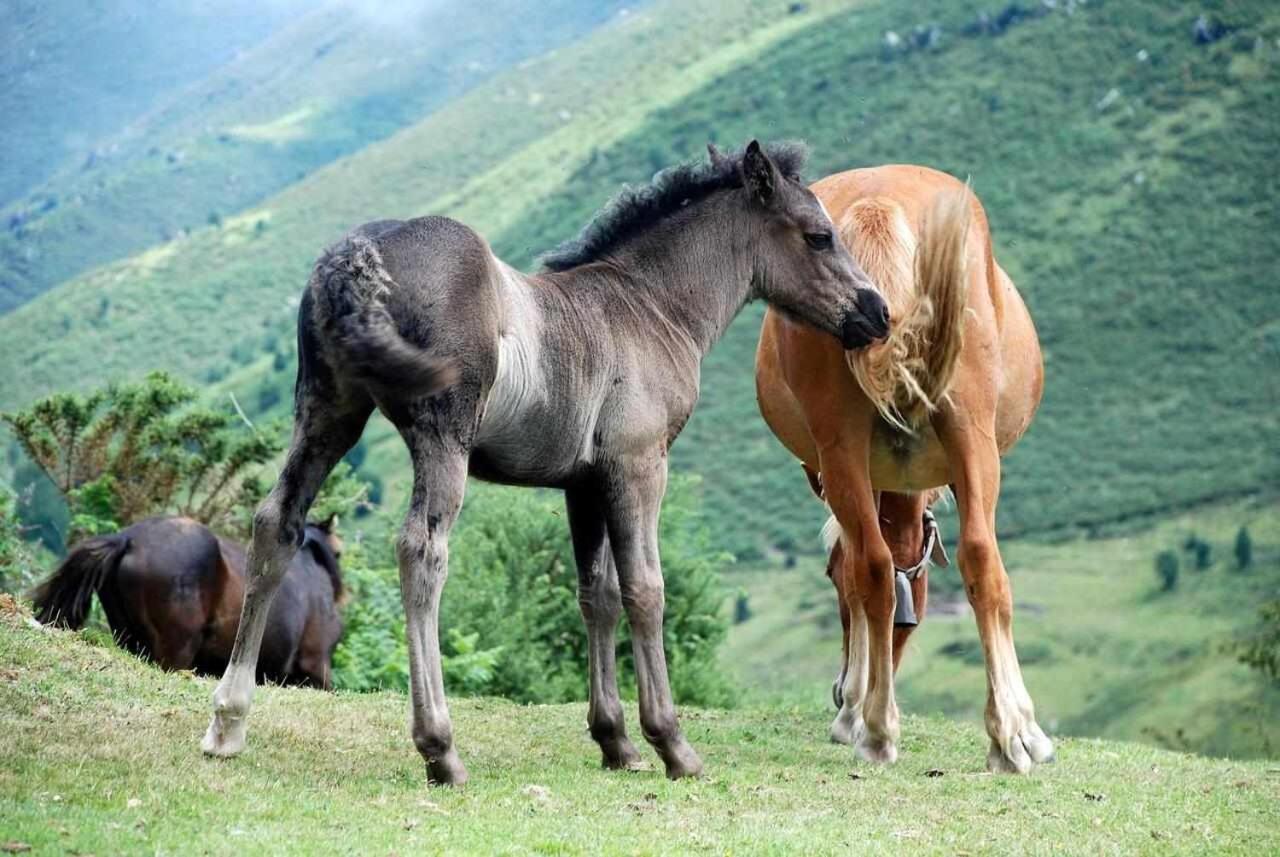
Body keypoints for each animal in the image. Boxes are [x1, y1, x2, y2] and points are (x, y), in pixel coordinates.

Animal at [204, 139, 896, 787]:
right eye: (819, 235)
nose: (878, 312)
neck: (653, 306)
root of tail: (359, 254)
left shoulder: (583, 483)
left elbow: (598, 595)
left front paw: (615, 742)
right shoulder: (638, 465)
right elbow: (646, 589)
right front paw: (671, 744)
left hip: (327, 414)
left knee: (276, 523)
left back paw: (227, 723)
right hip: (441, 436)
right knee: (420, 550)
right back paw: (440, 748)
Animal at [752, 165, 1054, 777]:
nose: (840, 694)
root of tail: (879, 201)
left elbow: (866, 570)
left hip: (861, 446)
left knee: (894, 565)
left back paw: (897, 729)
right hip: (966, 435)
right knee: (967, 561)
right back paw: (996, 731)